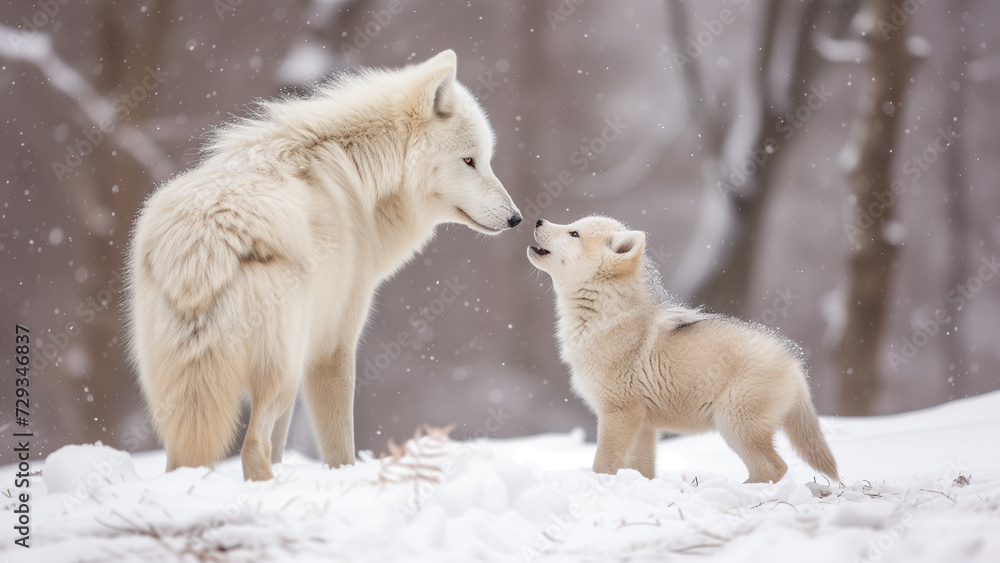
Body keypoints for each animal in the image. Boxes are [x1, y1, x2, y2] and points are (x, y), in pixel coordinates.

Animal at [126, 50, 521, 481]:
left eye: (484, 160)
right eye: (469, 160)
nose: (517, 218)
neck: (361, 172)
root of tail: (206, 236)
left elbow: (282, 447)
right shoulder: (334, 347)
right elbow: (340, 450)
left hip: (180, 391)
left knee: (190, 457)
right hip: (280, 374)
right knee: (252, 446)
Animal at [527, 216, 838, 484]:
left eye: (574, 233)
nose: (538, 220)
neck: (606, 316)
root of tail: (795, 366)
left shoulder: (619, 413)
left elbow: (602, 464)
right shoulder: (644, 424)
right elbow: (641, 470)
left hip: (734, 425)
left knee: (775, 467)